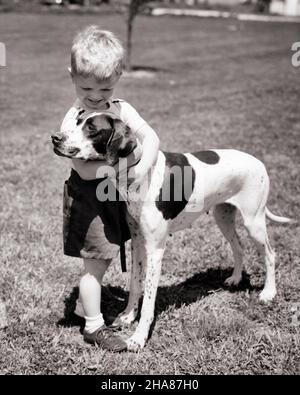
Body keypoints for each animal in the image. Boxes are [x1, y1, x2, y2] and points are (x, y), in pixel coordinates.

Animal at [52, 113, 290, 352]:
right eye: (77, 121)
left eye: (91, 128)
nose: (55, 137)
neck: (138, 169)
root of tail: (258, 162)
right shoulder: (138, 243)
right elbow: (135, 283)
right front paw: (128, 316)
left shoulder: (155, 250)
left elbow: (148, 301)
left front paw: (139, 338)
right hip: (223, 217)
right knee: (238, 247)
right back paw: (235, 278)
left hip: (253, 222)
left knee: (270, 254)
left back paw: (268, 293)